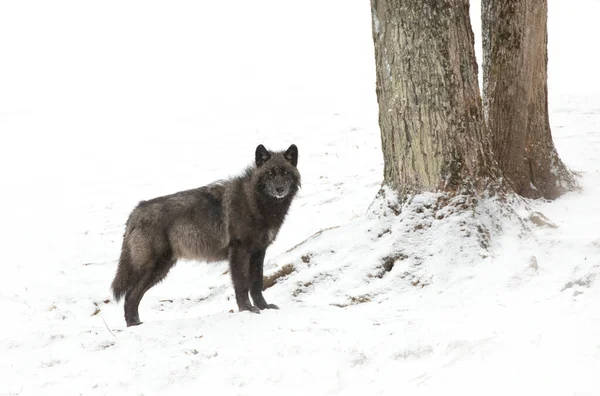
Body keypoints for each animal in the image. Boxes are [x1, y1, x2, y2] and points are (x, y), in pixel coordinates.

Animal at [110, 144, 300, 326]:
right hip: (154, 266)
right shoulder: (239, 251)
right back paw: (133, 324)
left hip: (161, 269)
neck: (255, 201)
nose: (280, 189)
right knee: (130, 295)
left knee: (132, 296)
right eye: (270, 173)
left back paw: (135, 324)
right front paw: (247, 309)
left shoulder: (258, 252)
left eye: (285, 172)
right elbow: (242, 284)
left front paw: (264, 307)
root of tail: (136, 210)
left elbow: (257, 283)